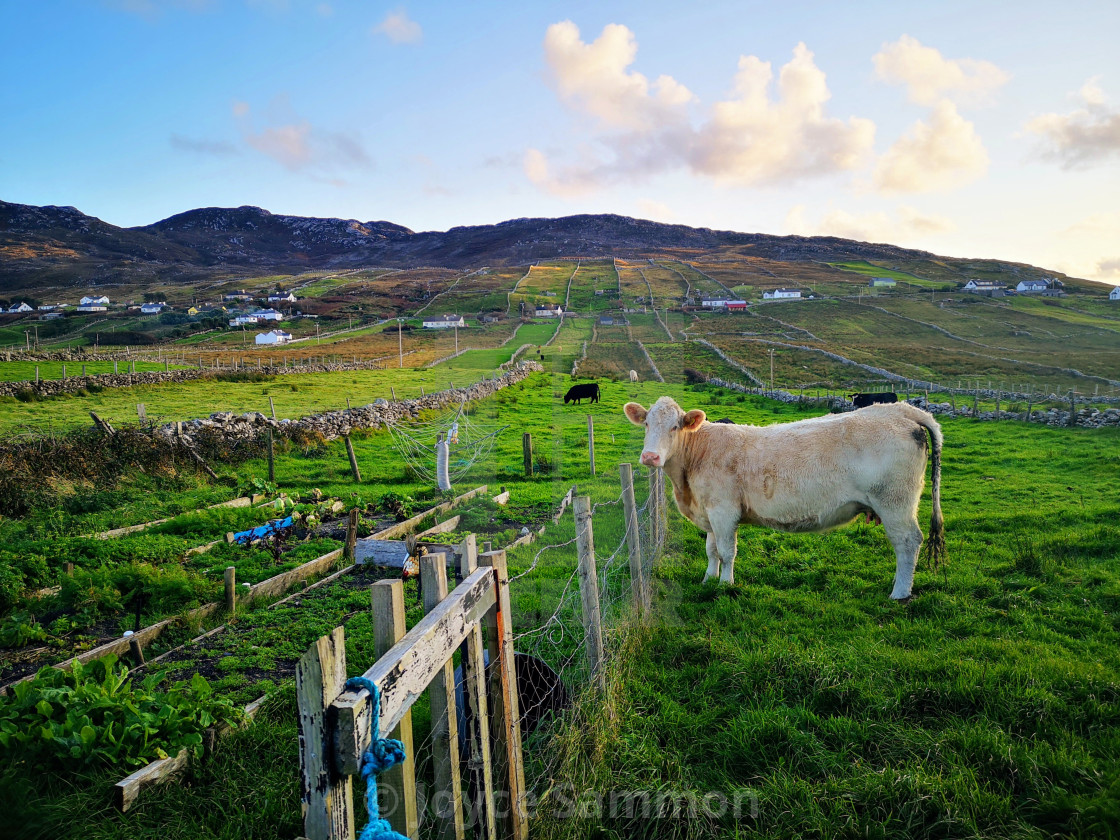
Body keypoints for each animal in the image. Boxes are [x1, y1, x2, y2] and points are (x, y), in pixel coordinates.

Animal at [627, 398, 940, 600]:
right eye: (646, 424)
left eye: (675, 427)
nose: (650, 456)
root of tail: (898, 409)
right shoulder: (709, 511)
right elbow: (711, 550)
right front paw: (708, 580)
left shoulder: (724, 511)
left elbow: (727, 552)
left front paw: (725, 585)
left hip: (895, 502)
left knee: (907, 542)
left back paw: (900, 593)